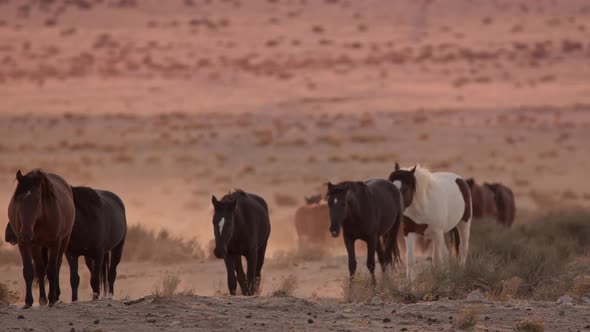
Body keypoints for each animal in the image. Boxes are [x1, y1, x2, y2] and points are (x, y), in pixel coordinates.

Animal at [7, 170, 76, 308]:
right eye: (18, 200)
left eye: (37, 200)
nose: (25, 234)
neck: (40, 220)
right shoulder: (25, 244)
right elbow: (29, 271)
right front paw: (29, 301)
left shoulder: (54, 244)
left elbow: (51, 270)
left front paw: (52, 299)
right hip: (36, 246)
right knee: (40, 269)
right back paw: (42, 298)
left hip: (63, 242)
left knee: (57, 266)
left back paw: (55, 296)